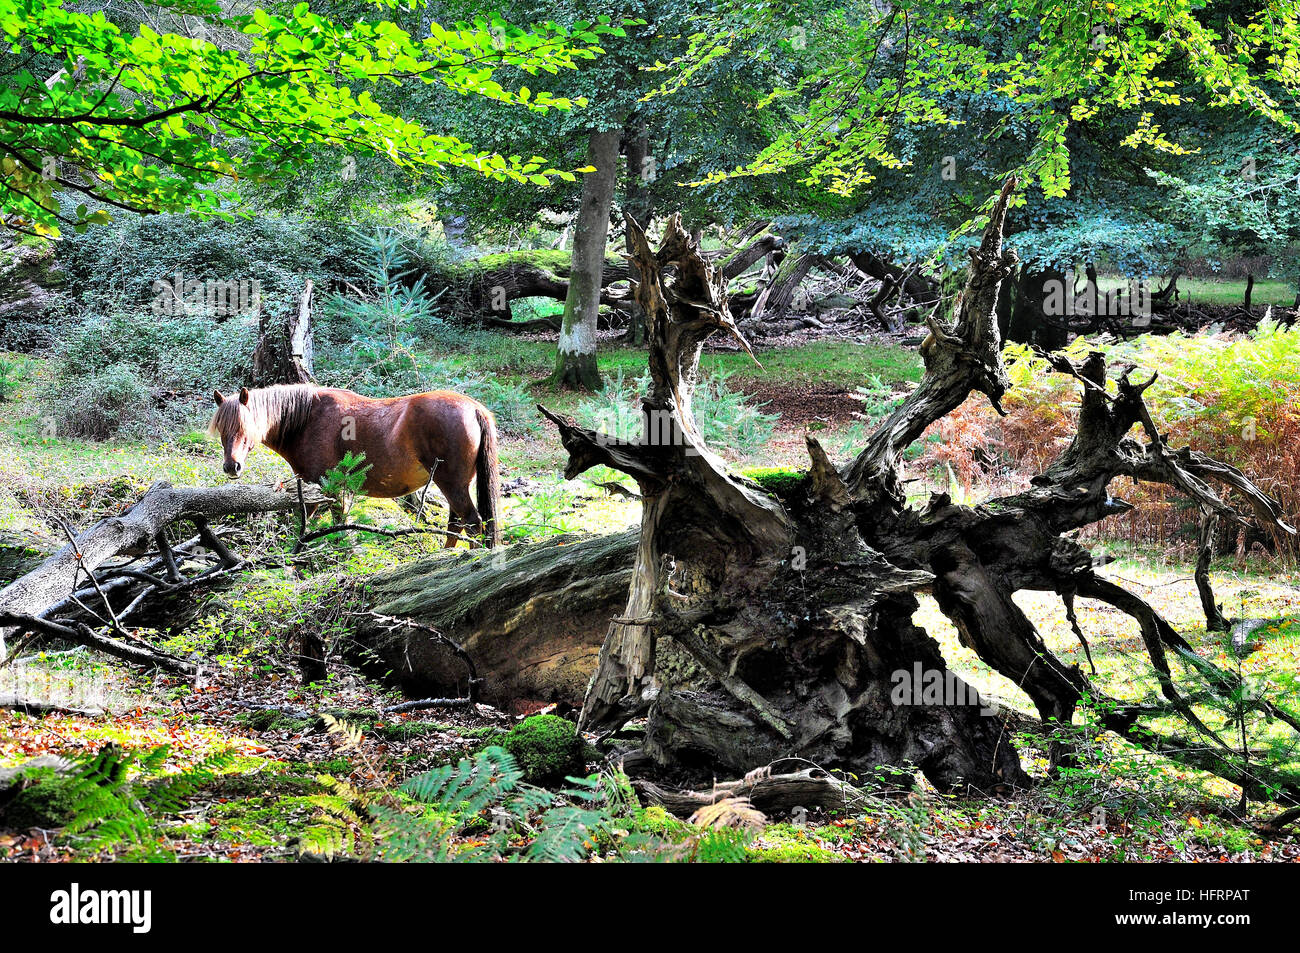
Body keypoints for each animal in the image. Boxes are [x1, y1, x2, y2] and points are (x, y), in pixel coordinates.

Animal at [210, 382, 499, 543]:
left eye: (244, 426)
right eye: (222, 429)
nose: (231, 467)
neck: (307, 419)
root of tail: (474, 408)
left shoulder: (324, 489)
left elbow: (322, 527)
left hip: (452, 484)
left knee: (472, 523)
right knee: (457, 524)